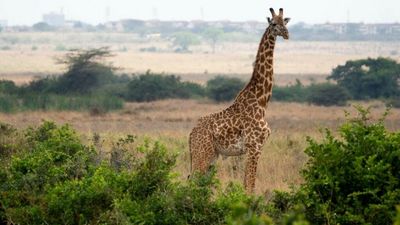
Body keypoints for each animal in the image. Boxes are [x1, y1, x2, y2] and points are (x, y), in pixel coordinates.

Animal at [189, 7, 290, 192]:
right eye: (273, 24)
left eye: (284, 23)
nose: (286, 34)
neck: (262, 102)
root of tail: (192, 133)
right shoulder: (254, 147)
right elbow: (249, 186)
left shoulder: (255, 148)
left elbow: (247, 184)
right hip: (202, 153)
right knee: (191, 183)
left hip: (212, 155)